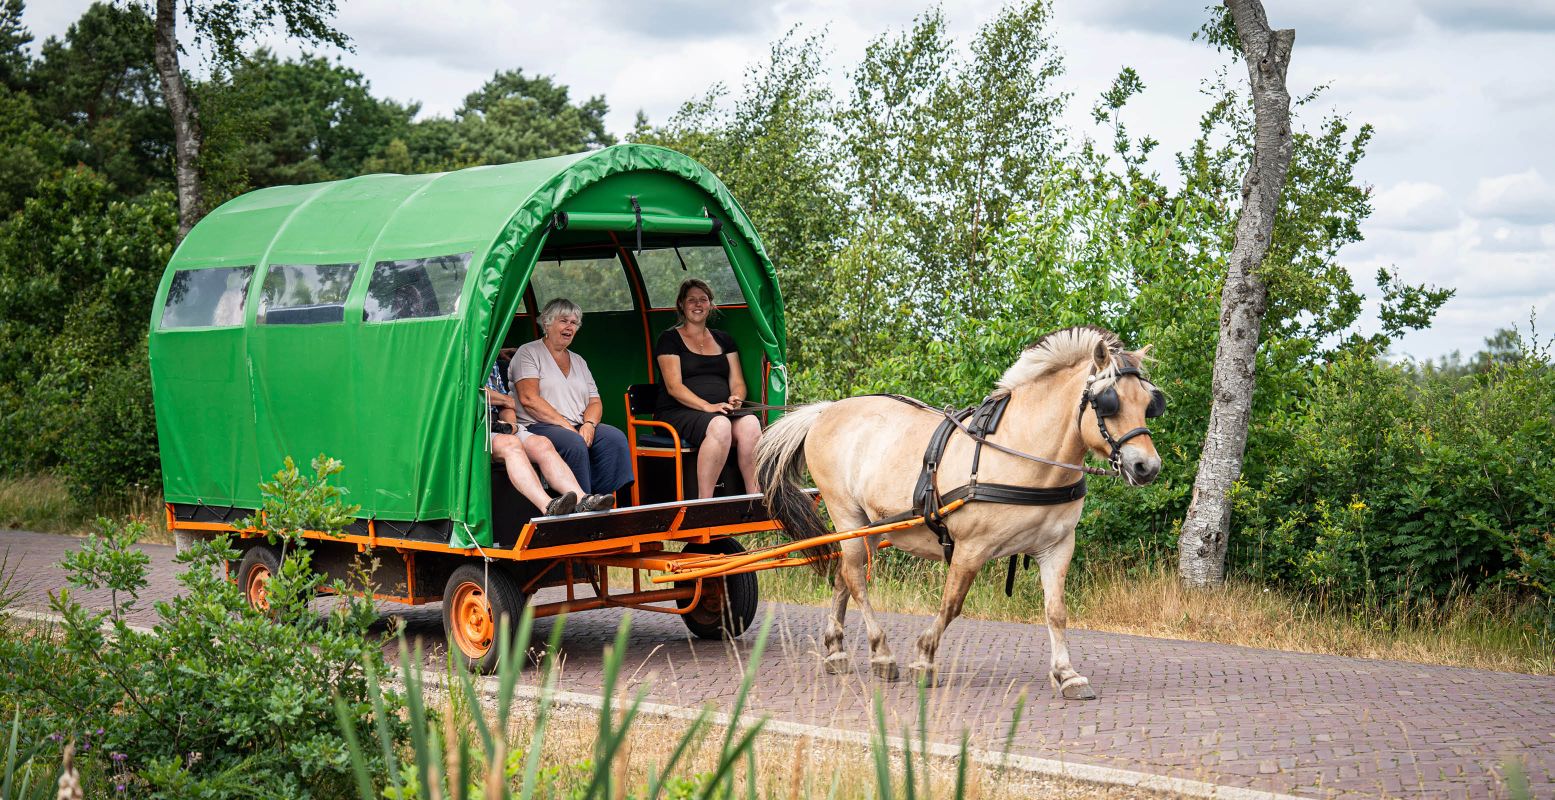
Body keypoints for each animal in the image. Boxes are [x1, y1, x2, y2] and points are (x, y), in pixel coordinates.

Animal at [758, 326, 1163, 694]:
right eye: (1108, 402)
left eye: (1149, 403)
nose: (1148, 467)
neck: (1025, 452)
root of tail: (827, 410)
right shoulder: (971, 547)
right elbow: (952, 604)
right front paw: (924, 658)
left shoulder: (1057, 546)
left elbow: (1056, 610)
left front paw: (1066, 674)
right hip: (846, 513)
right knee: (856, 578)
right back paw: (882, 653)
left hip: (870, 525)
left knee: (844, 576)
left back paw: (837, 650)